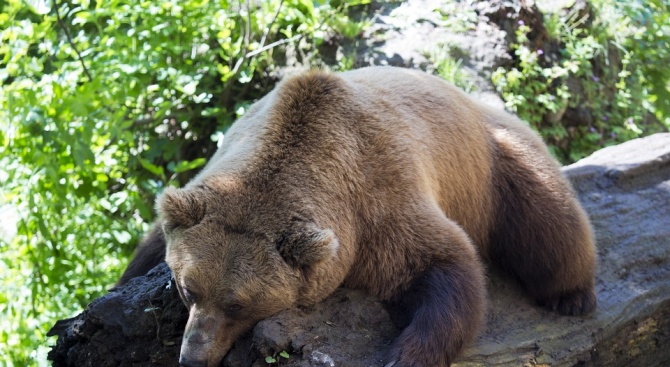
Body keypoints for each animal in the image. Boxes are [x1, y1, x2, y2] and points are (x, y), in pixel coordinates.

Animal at [118, 66, 596, 367]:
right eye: (187, 289)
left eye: (238, 303)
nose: (192, 357)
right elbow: (147, 250)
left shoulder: (379, 204)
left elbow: (446, 265)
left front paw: (404, 356)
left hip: (496, 165)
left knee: (549, 224)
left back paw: (572, 296)